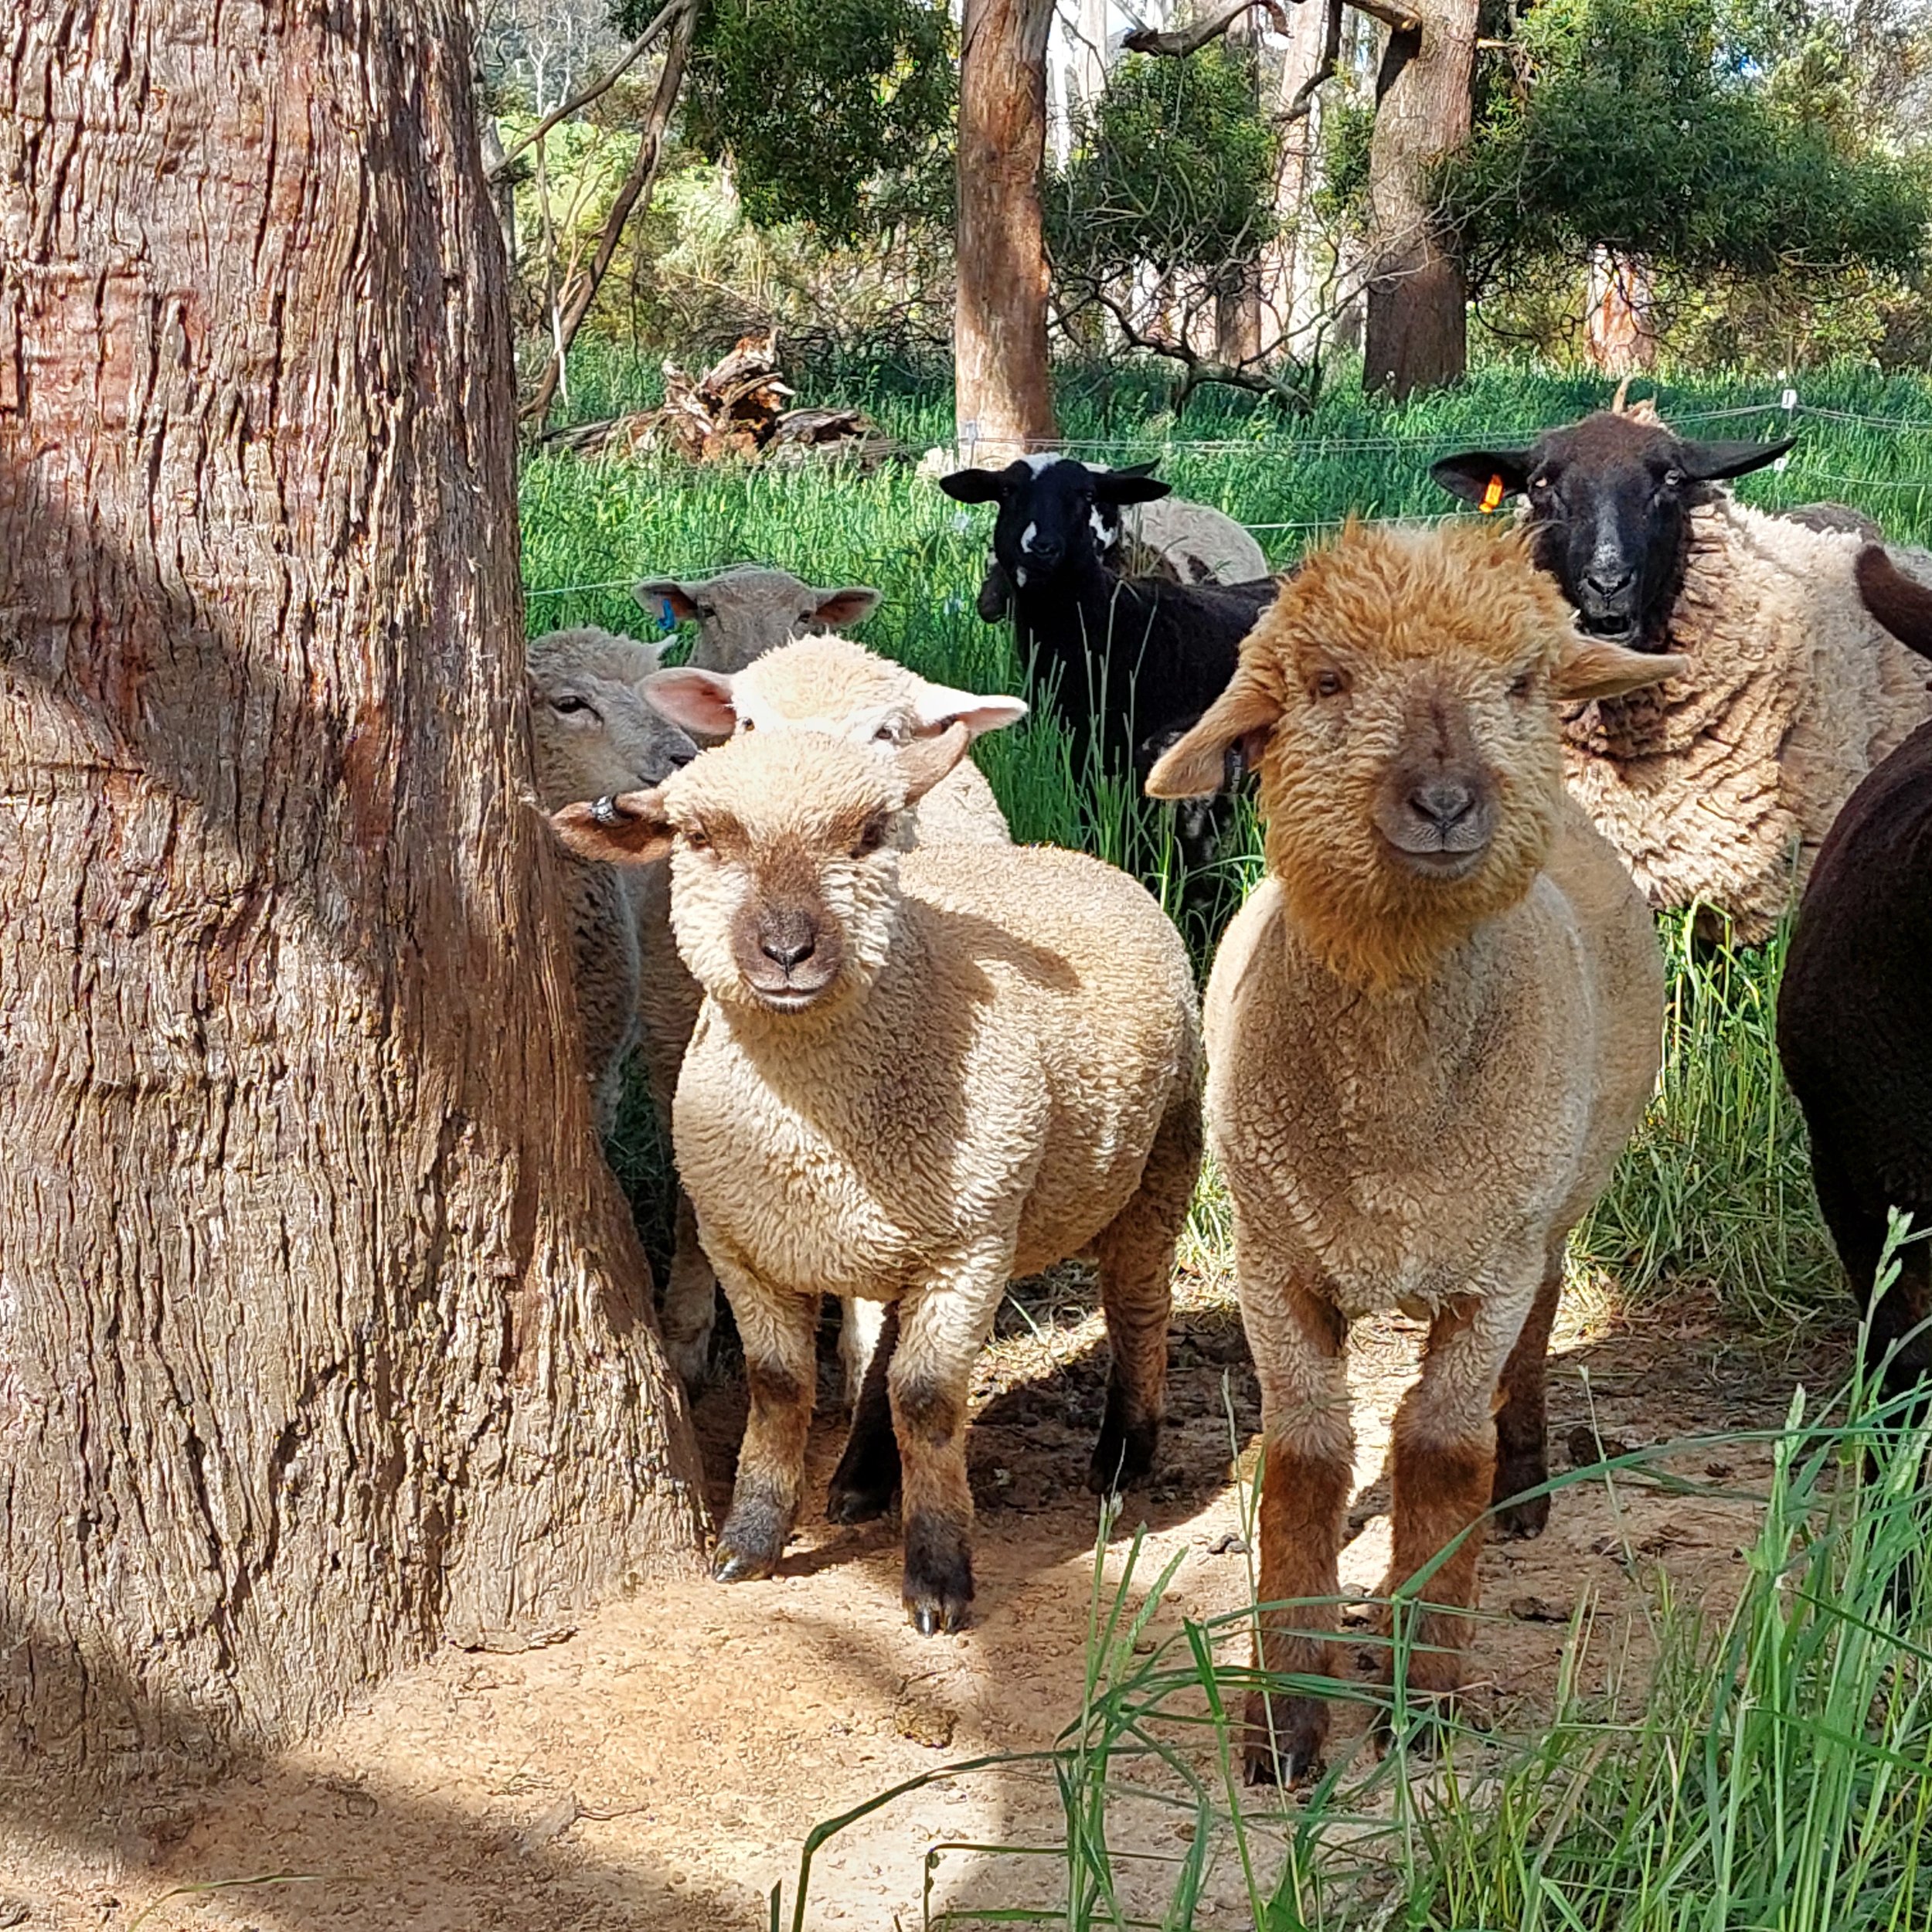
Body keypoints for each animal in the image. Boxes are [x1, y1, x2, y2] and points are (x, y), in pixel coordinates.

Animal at [551, 726, 1203, 1634]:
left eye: (867, 834)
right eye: (700, 837)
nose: (786, 952)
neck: (817, 1133)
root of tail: (1073, 857)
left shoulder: (973, 1244)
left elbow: (928, 1400)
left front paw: (937, 1576)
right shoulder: (743, 1243)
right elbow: (782, 1387)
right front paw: (750, 1541)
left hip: (1164, 1150)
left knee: (1137, 1302)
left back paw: (1122, 1457)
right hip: (906, 1231)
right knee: (886, 1348)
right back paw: (862, 1477)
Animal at [1146, 520, 1676, 1783]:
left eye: (1524, 683)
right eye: (1328, 683)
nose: (1443, 800)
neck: (1392, 1126)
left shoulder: (1488, 1265)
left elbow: (1439, 1452)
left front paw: (1424, 1687)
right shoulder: (1274, 1265)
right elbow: (1304, 1460)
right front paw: (1286, 1718)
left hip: (1552, 1203)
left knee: (1537, 1330)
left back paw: (1524, 1484)